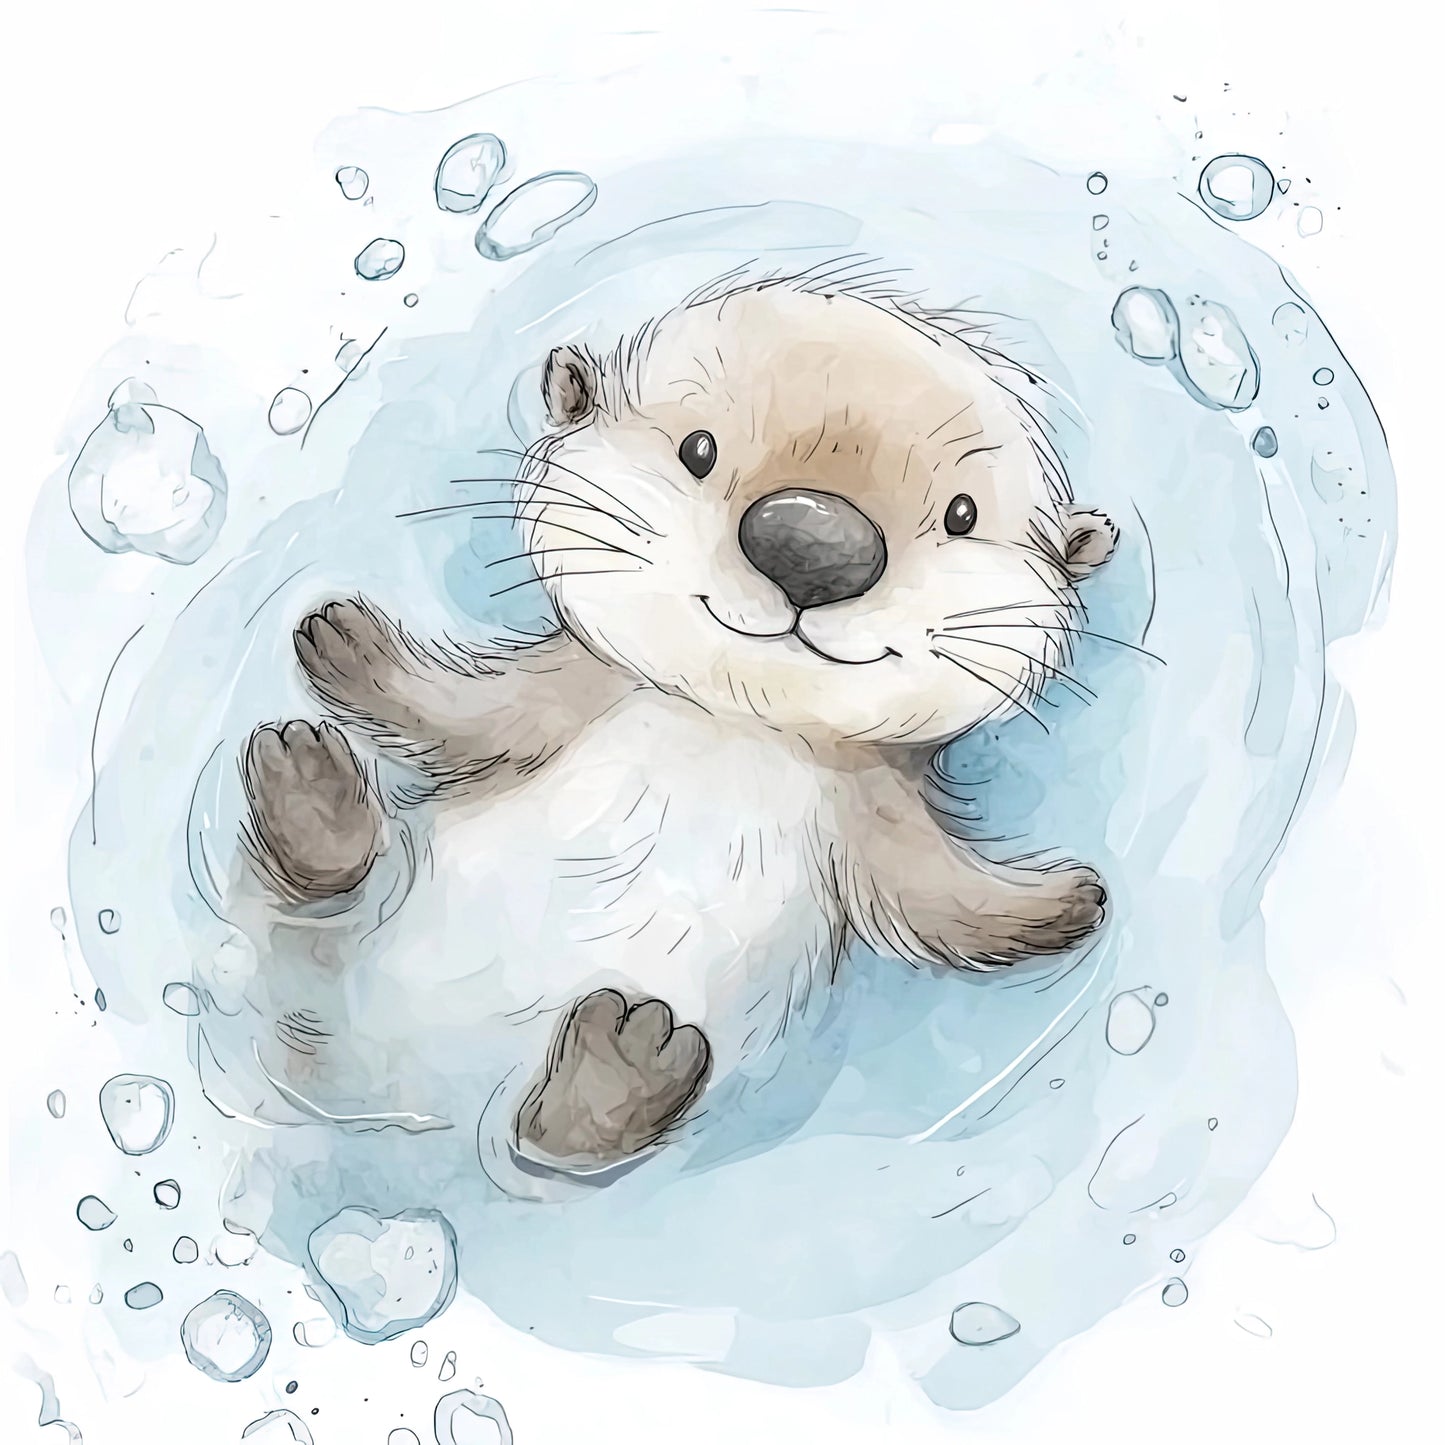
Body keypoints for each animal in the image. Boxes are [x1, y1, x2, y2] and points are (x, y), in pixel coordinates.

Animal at [232, 269, 1117, 1182]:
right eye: (698, 450)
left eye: (961, 514)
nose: (812, 538)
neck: (731, 724)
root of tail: (406, 1123)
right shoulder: (573, 691)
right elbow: (473, 714)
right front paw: (349, 640)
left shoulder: (867, 813)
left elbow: (931, 894)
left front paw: (1061, 900)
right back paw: (310, 789)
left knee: (546, 1148)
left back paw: (619, 1060)